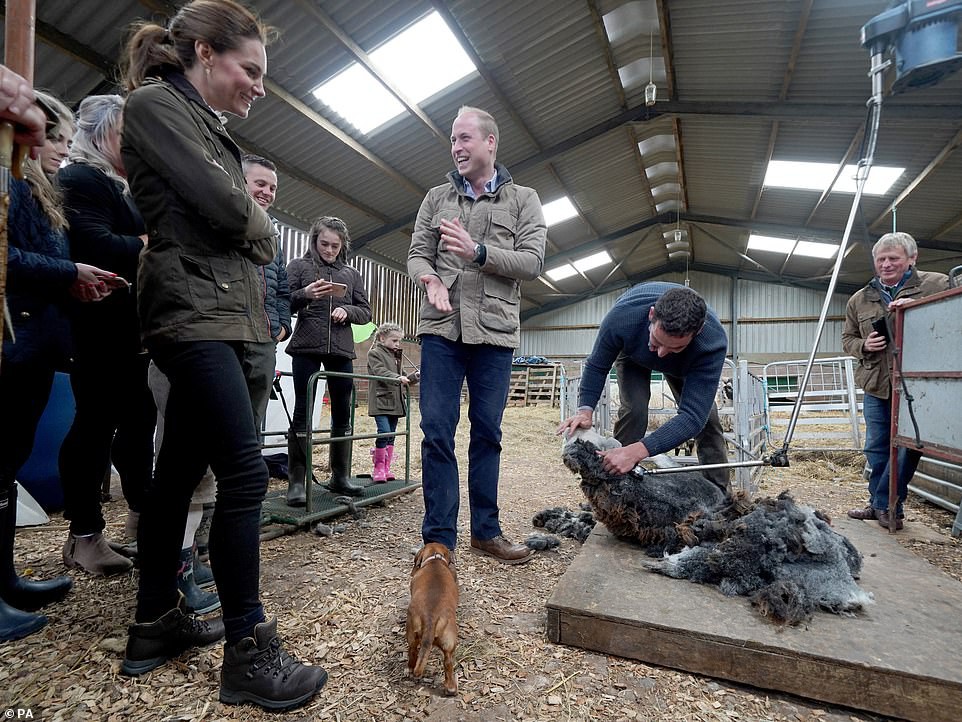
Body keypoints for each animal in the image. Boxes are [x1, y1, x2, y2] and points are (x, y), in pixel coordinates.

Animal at [404, 540, 458, 692]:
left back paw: (410, 669)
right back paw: (451, 688)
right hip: (449, 644)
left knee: (412, 652)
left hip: (412, 634)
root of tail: (431, 618)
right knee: (448, 663)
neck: (435, 560)